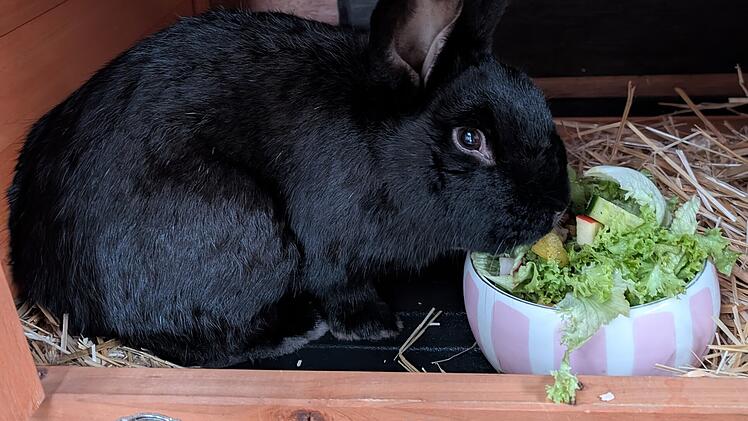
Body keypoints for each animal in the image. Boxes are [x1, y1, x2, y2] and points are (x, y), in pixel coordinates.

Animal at [8, 0, 570, 367]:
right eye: (470, 138)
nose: (558, 206)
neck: (387, 149)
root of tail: (46, 276)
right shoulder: (331, 250)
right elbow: (341, 287)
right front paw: (374, 325)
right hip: (247, 226)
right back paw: (297, 331)